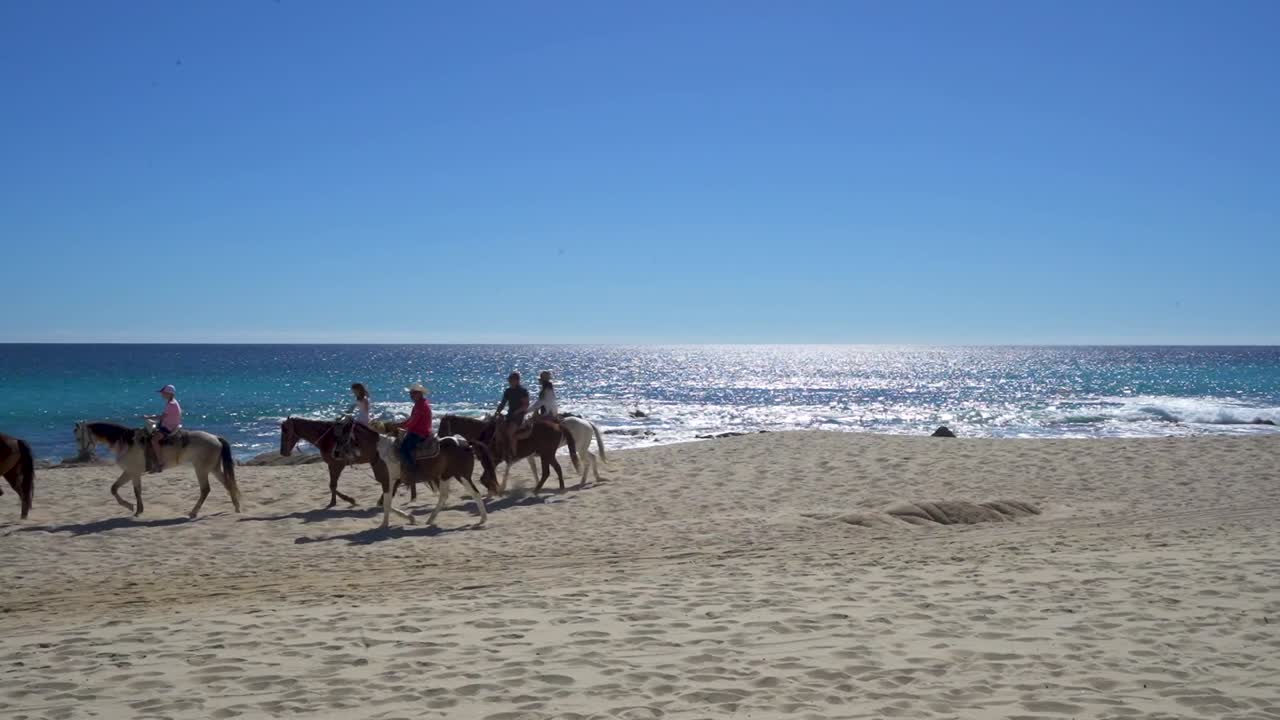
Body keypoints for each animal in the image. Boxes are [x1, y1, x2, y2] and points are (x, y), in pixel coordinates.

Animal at [74, 421, 241, 519]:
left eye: (78, 437)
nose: (82, 454)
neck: (127, 442)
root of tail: (216, 438)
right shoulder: (130, 472)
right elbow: (115, 488)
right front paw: (135, 508)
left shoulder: (133, 472)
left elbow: (134, 491)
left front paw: (134, 508)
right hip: (213, 468)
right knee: (228, 484)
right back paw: (237, 508)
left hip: (201, 469)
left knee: (205, 489)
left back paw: (193, 512)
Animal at [437, 415, 578, 493]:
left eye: (442, 425)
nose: (439, 438)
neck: (482, 434)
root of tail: (558, 425)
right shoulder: (488, 462)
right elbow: (485, 478)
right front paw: (493, 489)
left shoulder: (492, 461)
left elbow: (485, 478)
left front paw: (495, 489)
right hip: (547, 454)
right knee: (553, 470)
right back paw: (556, 487)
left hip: (546, 454)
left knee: (549, 471)